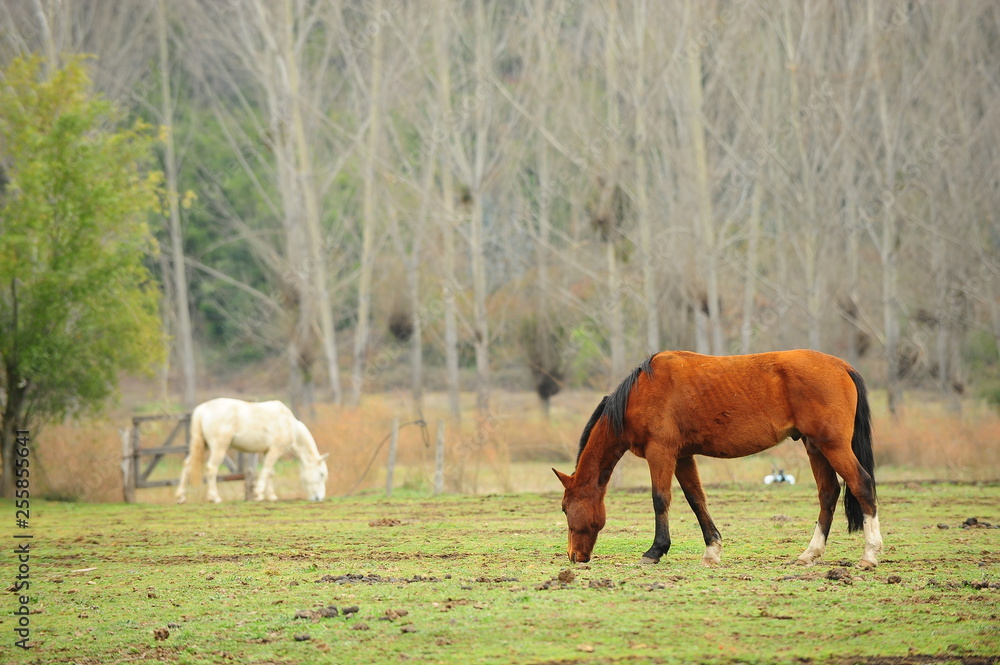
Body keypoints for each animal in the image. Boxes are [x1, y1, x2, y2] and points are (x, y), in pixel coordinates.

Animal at [175, 398, 329, 504]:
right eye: (321, 474)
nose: (319, 498)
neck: (290, 424)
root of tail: (201, 410)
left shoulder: (267, 451)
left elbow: (270, 473)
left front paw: (271, 496)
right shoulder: (276, 449)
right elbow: (266, 470)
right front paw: (258, 494)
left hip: (202, 445)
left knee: (187, 465)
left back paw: (181, 497)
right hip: (219, 447)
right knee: (212, 468)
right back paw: (215, 497)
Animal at [553, 350, 882, 569]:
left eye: (565, 508)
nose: (574, 556)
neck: (640, 392)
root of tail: (842, 366)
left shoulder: (661, 452)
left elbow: (660, 499)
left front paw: (655, 551)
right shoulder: (683, 456)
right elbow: (696, 499)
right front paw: (712, 549)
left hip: (833, 446)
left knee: (862, 485)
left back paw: (869, 554)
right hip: (815, 447)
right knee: (828, 494)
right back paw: (810, 554)